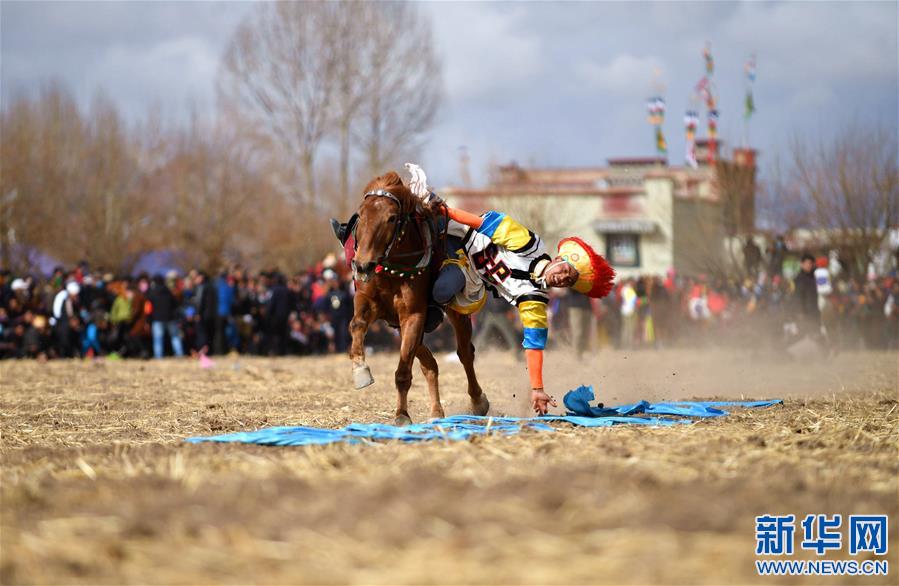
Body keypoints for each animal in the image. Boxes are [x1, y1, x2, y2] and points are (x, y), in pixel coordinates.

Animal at [344, 170, 488, 424]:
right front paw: (360, 370)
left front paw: (402, 415)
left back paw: (478, 400)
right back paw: (436, 411)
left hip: (454, 312)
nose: (362, 265)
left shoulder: (413, 315)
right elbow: (357, 324)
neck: (392, 271)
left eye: (391, 218)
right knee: (430, 364)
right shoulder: (368, 303)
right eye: (361, 215)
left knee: (464, 353)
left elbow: (403, 372)